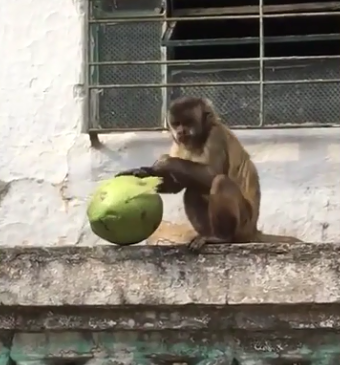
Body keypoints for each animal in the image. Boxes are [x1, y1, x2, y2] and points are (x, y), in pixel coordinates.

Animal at [115, 96, 302, 250]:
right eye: (177, 124)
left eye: (188, 123)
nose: (181, 132)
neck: (198, 140)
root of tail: (254, 231)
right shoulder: (179, 143)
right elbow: (177, 186)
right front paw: (142, 173)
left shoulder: (215, 135)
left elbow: (212, 174)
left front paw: (164, 162)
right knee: (192, 191)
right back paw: (207, 235)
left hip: (244, 224)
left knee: (219, 181)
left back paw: (222, 238)